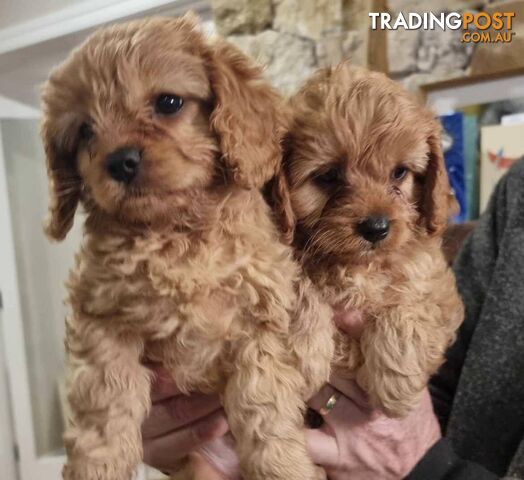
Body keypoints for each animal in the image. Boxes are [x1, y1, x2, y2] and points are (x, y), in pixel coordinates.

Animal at [272, 62, 464, 416]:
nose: (376, 228)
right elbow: (301, 288)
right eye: (328, 175)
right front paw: (303, 358)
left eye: (399, 173)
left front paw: (395, 387)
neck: (359, 266)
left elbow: (407, 306)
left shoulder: (436, 288)